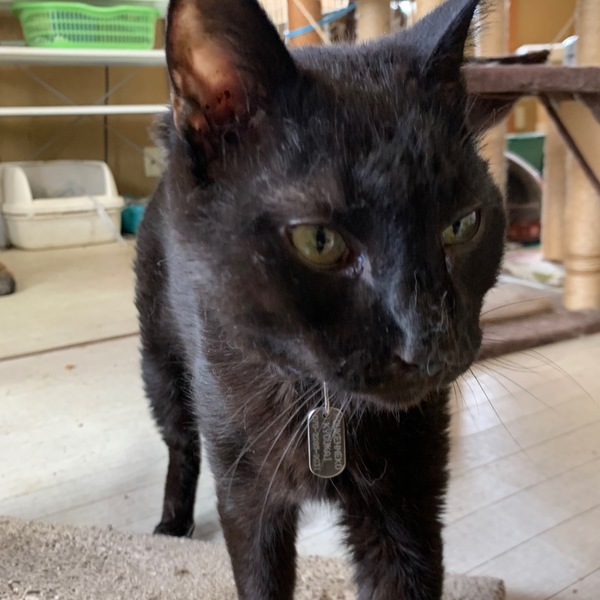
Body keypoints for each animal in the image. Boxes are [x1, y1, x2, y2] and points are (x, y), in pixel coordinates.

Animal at [135, 0, 519, 598]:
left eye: (463, 225)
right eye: (319, 241)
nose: (430, 341)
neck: (321, 403)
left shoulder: (408, 497)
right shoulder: (246, 493)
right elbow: (259, 576)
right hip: (161, 361)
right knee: (180, 442)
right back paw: (172, 524)